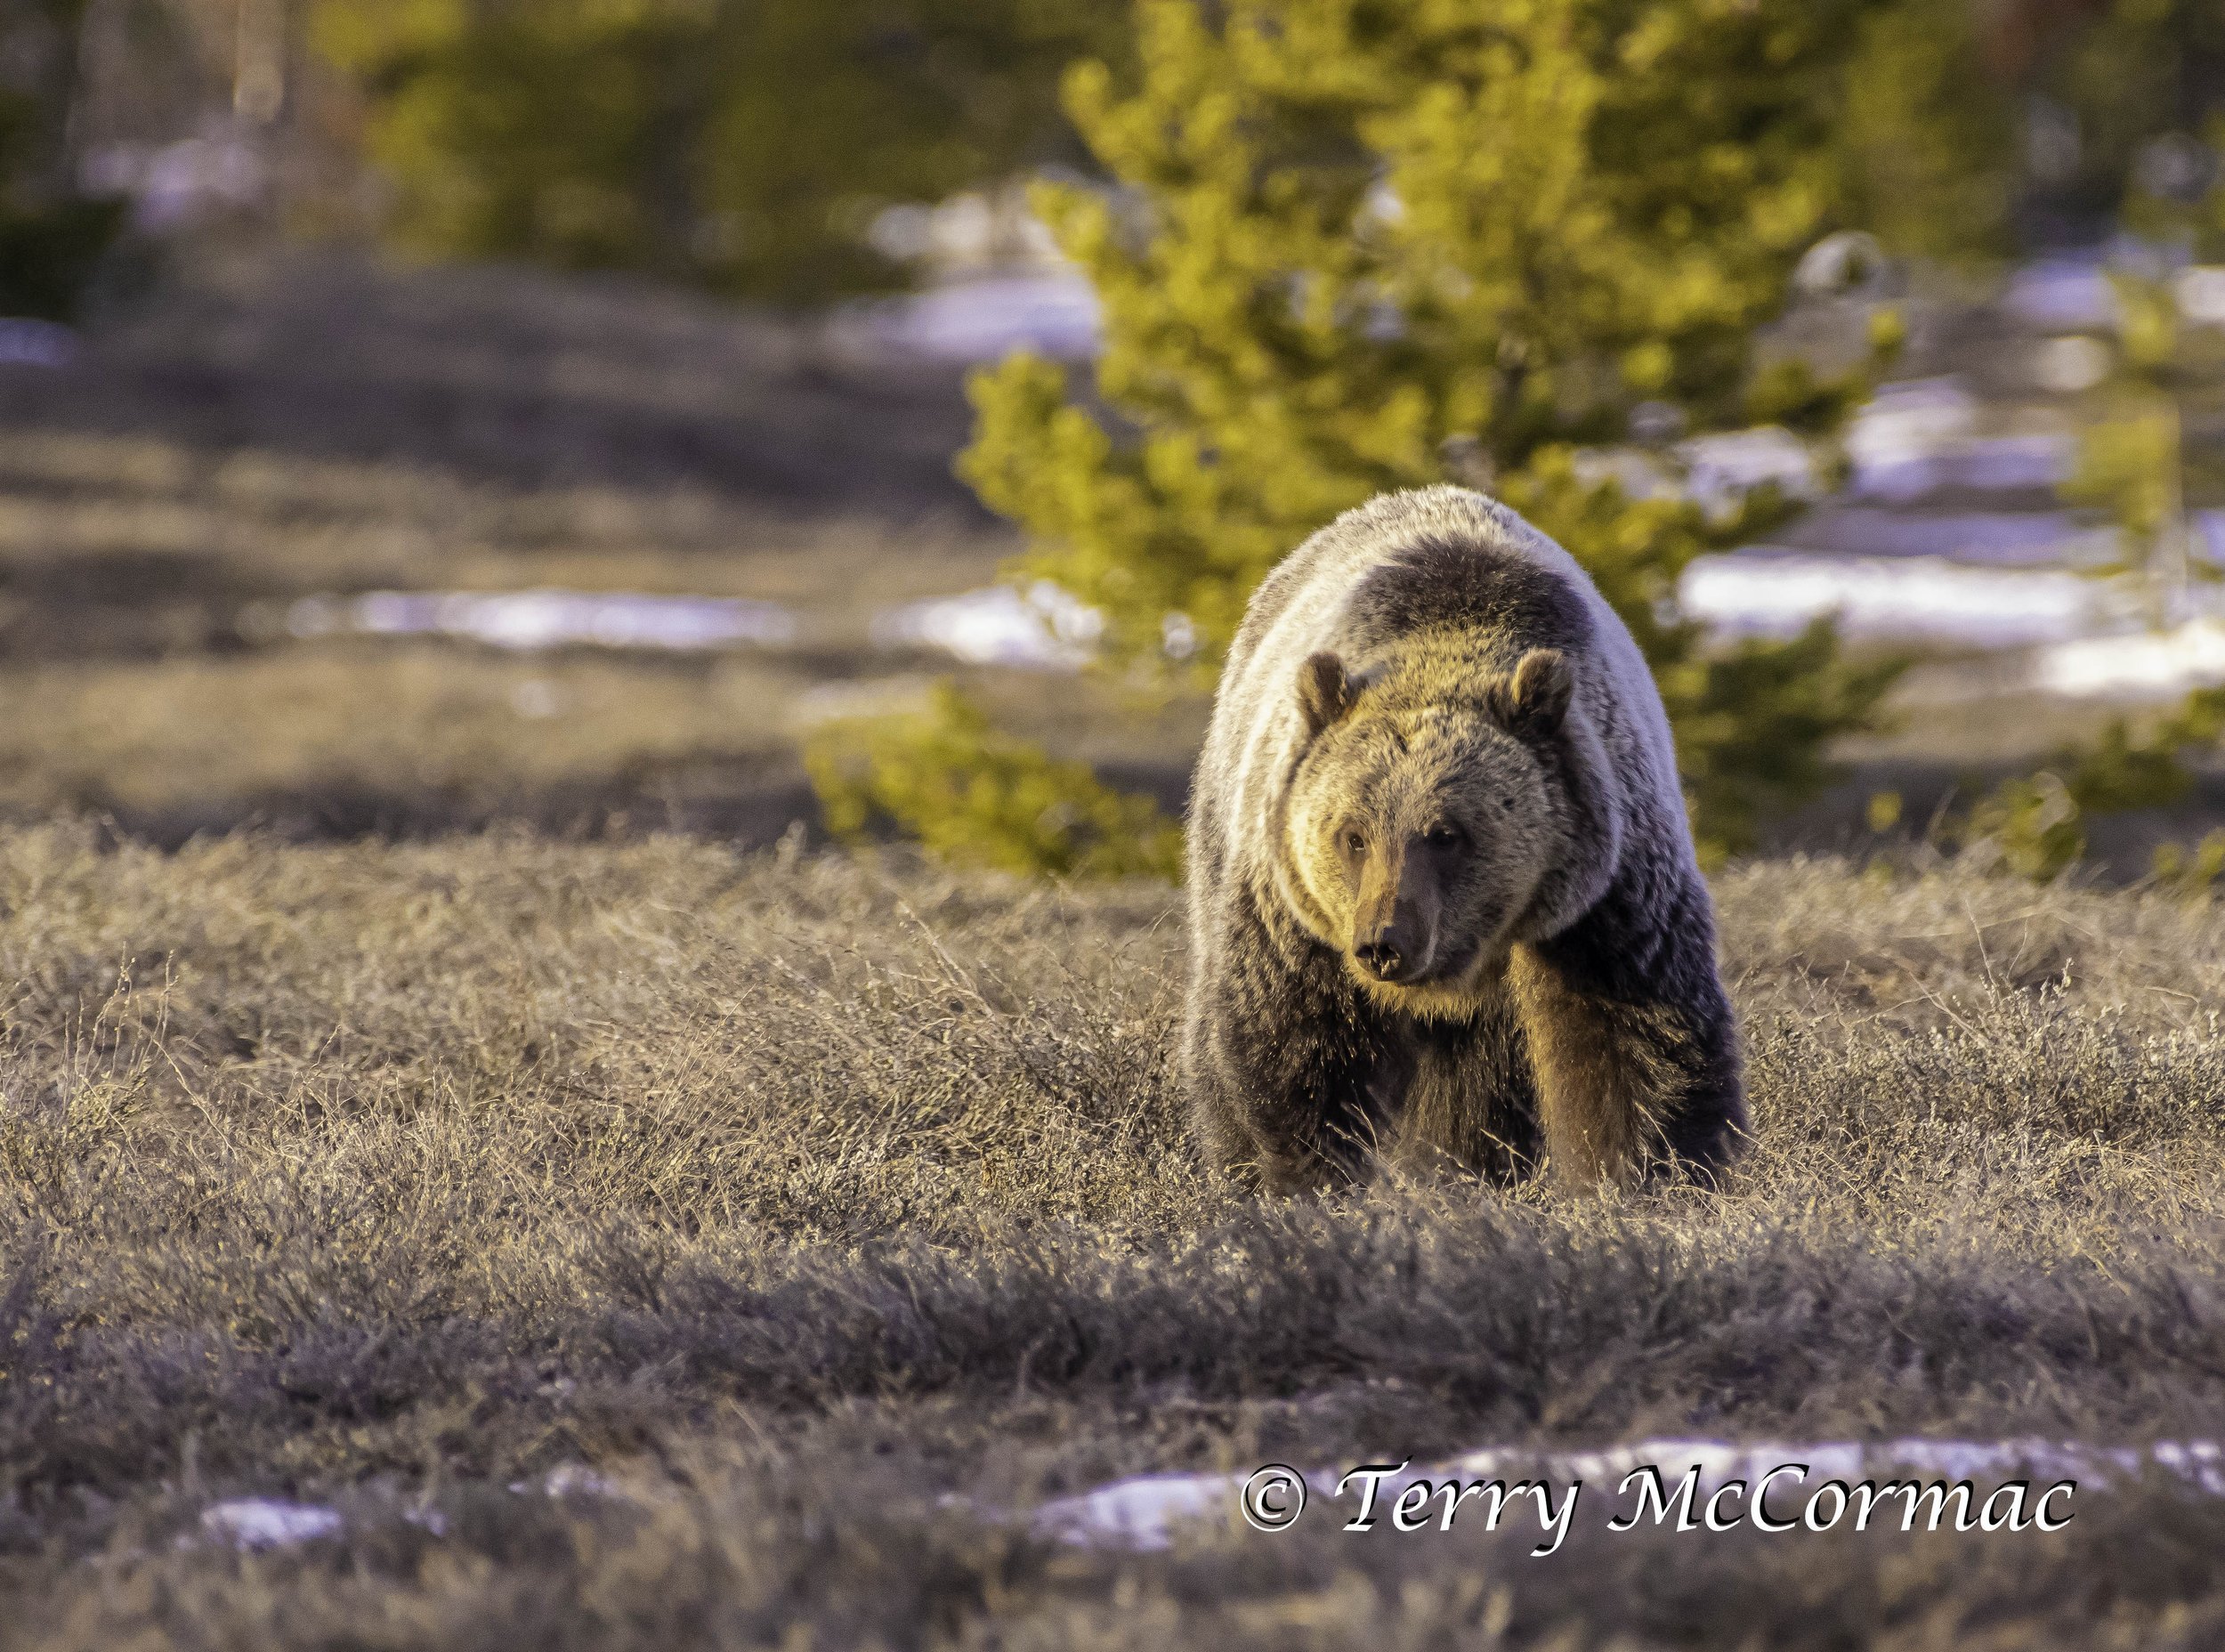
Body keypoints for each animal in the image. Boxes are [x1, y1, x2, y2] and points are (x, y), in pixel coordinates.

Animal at [1181, 484, 1744, 1193]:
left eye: (1446, 834)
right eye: (1352, 835)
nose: (1383, 944)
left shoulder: (1607, 897)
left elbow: (1638, 1042)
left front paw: (1649, 1175)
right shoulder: (1297, 916)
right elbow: (1295, 1045)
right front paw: (1309, 1178)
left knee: (1480, 1082)